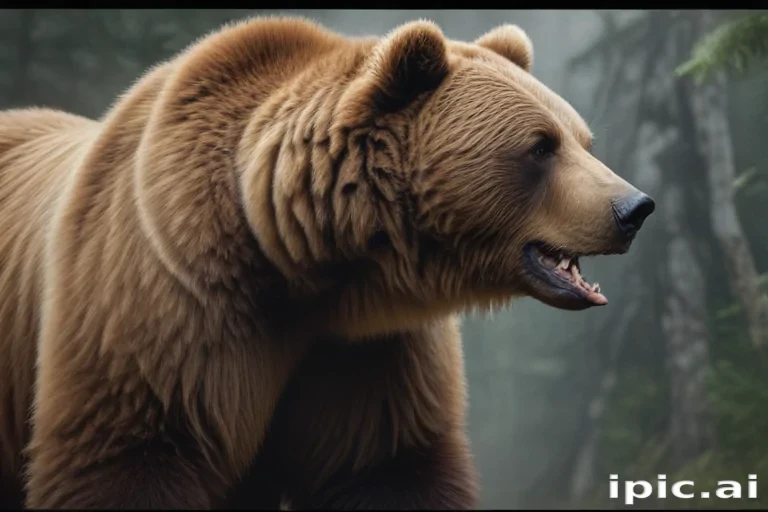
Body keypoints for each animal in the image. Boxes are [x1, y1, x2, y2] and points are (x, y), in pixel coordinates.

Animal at [0, 16, 655, 510]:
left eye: (583, 140)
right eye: (540, 146)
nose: (634, 208)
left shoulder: (367, 350)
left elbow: (388, 467)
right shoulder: (171, 299)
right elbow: (131, 454)